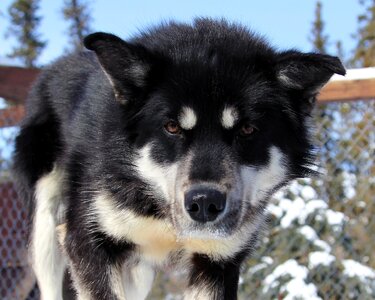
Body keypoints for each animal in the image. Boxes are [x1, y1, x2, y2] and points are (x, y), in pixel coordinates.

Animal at [12, 18, 346, 300]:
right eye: (172, 127)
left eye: (247, 129)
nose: (205, 203)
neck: (159, 210)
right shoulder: (87, 243)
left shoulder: (217, 261)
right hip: (47, 227)